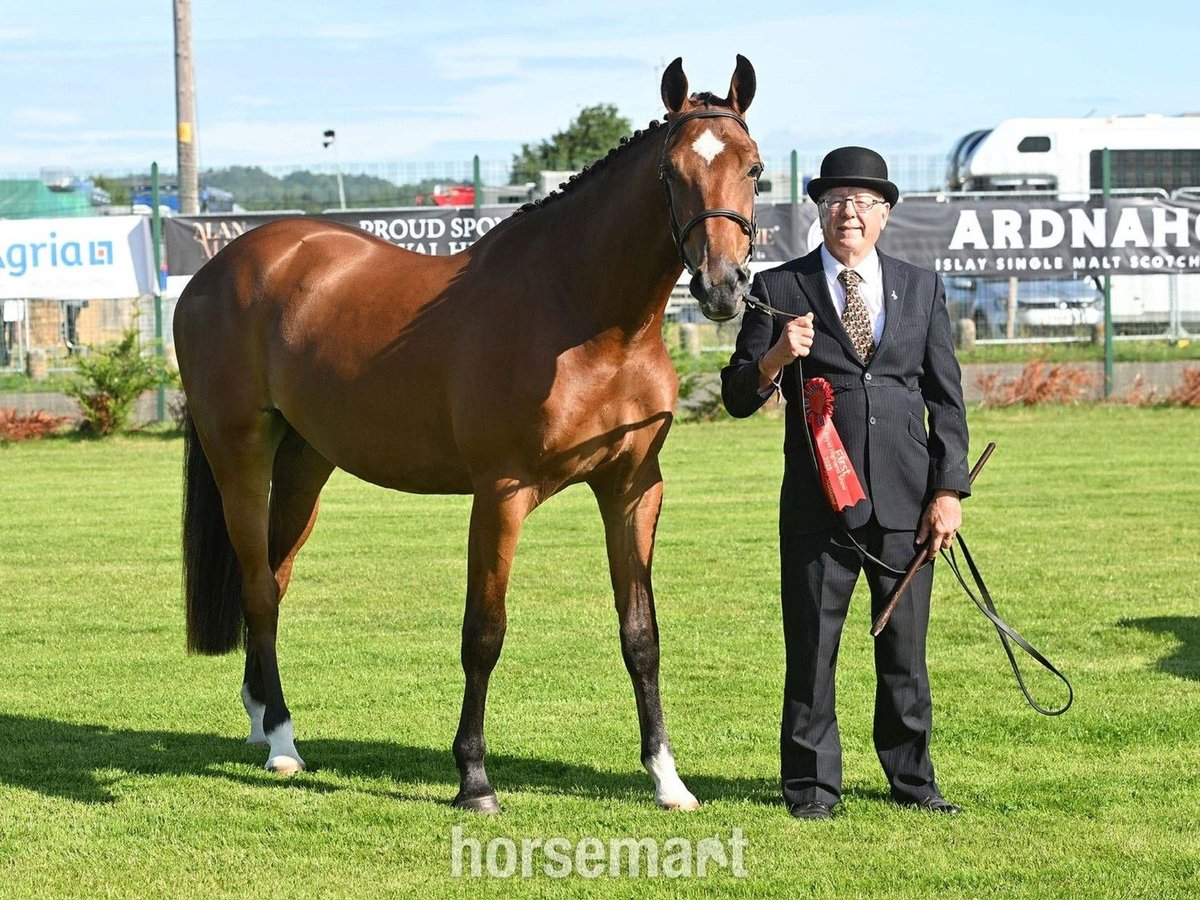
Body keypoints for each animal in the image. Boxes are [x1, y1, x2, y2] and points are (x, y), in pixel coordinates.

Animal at [175, 55, 761, 813]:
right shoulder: (501, 493)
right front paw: (475, 779)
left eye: (754, 169)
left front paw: (667, 777)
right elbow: (484, 632)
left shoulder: (632, 489)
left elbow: (641, 633)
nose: (722, 287)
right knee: (257, 587)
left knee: (274, 578)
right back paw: (281, 742)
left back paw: (260, 717)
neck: (580, 317)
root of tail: (219, 268)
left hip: (306, 464)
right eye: (672, 171)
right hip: (240, 454)